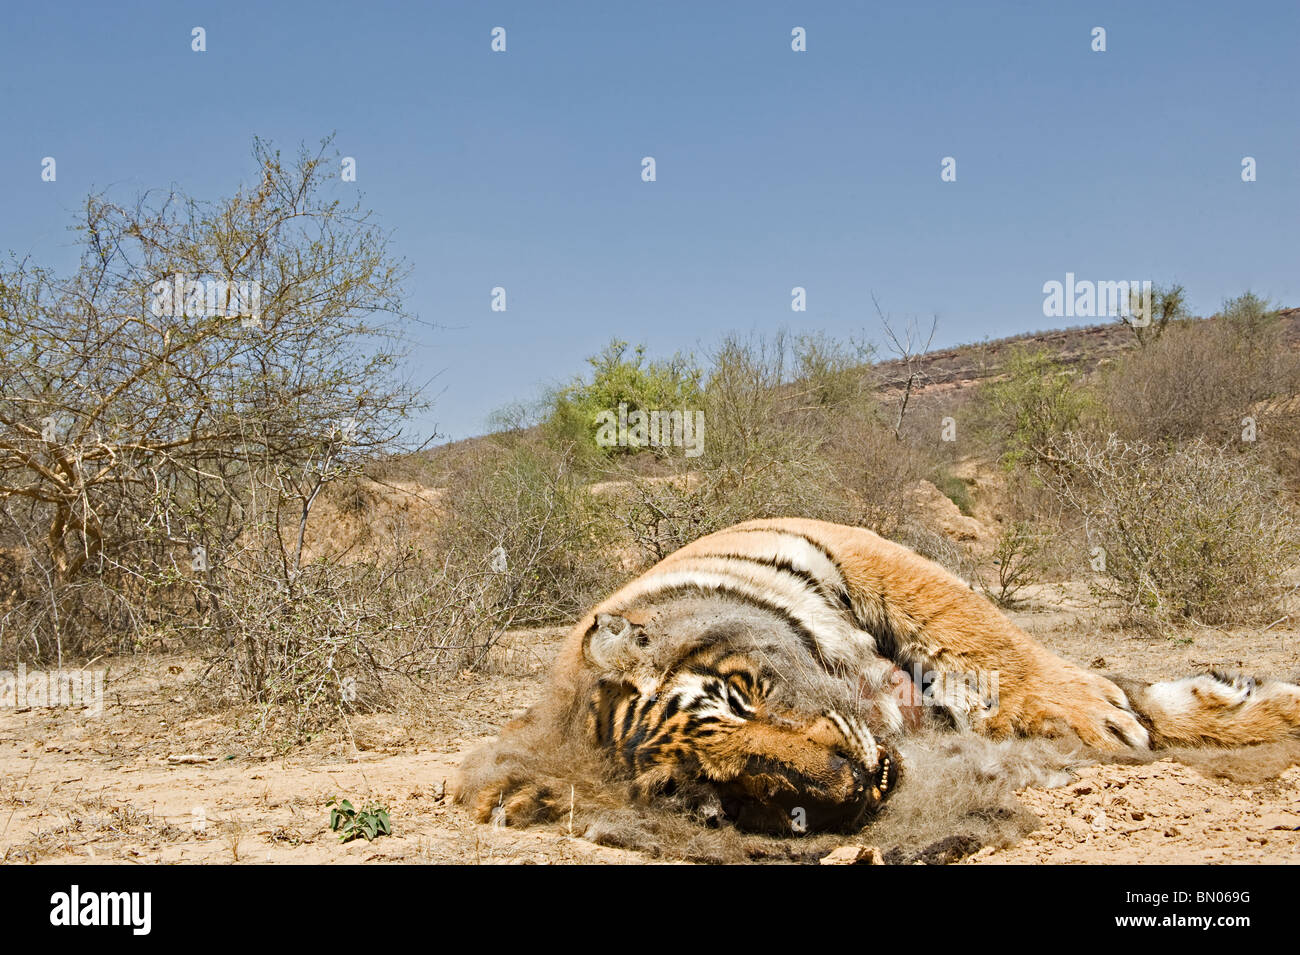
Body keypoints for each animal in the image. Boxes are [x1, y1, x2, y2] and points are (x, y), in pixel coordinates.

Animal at [455, 518, 1300, 835]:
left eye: (741, 692)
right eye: (710, 796)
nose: (855, 785)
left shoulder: (851, 547)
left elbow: (986, 636)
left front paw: (1105, 711)